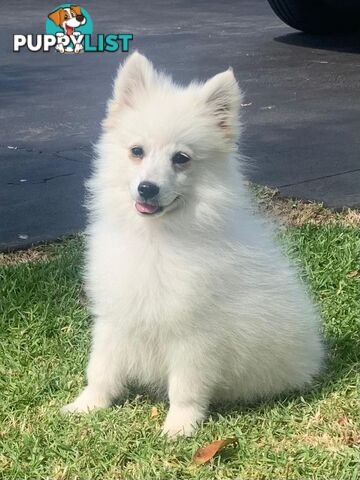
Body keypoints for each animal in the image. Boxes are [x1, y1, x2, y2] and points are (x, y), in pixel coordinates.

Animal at [63, 51, 324, 436]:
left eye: (181, 159)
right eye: (137, 151)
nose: (147, 188)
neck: (156, 238)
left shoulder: (195, 335)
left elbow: (185, 387)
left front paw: (179, 428)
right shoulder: (116, 315)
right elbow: (101, 368)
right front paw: (87, 406)